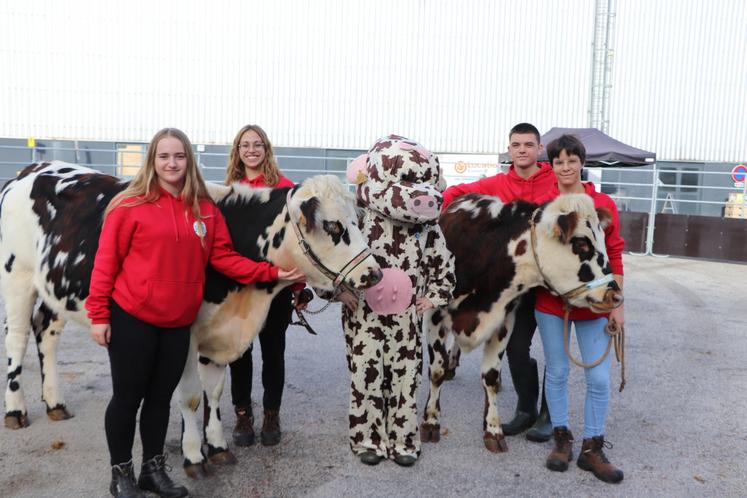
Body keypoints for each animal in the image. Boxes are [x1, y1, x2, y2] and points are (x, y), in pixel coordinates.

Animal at [420, 193, 624, 454]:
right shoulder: (434, 314)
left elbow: (490, 377)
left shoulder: (503, 320)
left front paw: (493, 429)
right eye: (582, 244)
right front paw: (431, 422)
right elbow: (436, 370)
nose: (615, 296)